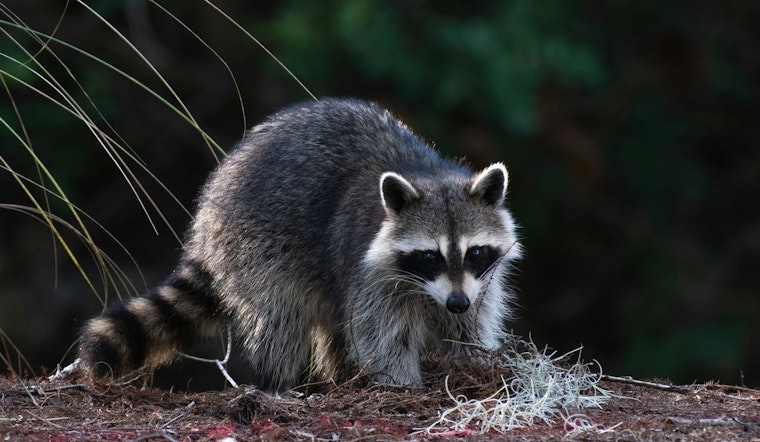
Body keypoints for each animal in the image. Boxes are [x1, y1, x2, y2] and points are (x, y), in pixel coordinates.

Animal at [79, 98, 522, 392]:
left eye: (474, 252)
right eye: (430, 256)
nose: (456, 302)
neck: (429, 175)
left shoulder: (478, 282)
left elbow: (468, 325)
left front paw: (471, 364)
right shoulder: (370, 271)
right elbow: (382, 335)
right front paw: (401, 384)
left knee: (333, 324)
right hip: (256, 245)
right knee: (281, 318)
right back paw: (277, 383)